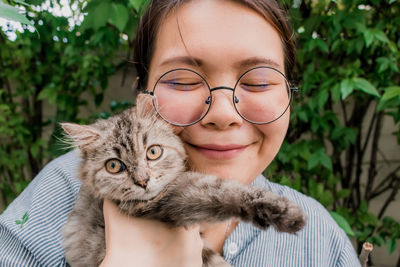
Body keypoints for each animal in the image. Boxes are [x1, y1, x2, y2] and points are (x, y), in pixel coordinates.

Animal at [61, 94, 306, 267]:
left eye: (153, 152)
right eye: (114, 166)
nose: (143, 181)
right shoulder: (171, 199)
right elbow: (223, 190)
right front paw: (282, 211)